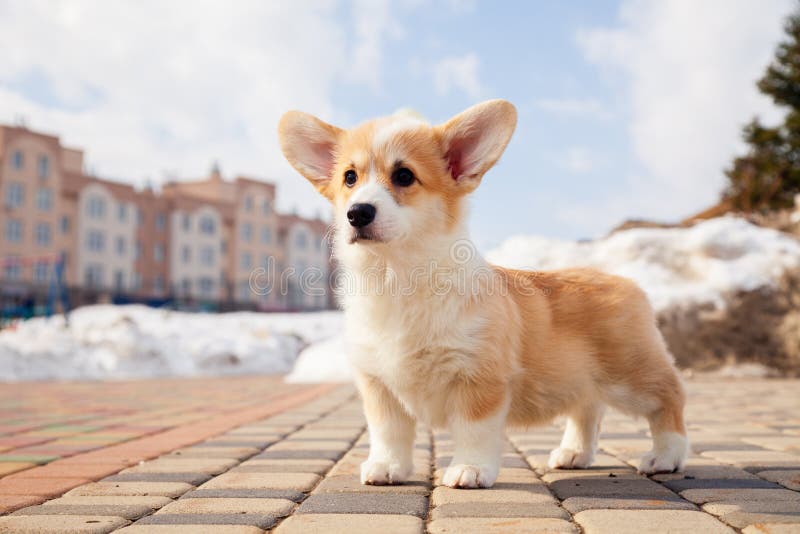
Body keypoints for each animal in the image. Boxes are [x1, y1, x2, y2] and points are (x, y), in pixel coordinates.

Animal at [276, 99, 688, 490]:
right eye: (349, 177)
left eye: (404, 176)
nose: (357, 213)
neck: (397, 277)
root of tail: (624, 281)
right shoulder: (379, 385)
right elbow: (388, 432)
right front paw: (387, 468)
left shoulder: (478, 378)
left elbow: (473, 431)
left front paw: (469, 470)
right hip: (581, 380)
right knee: (588, 409)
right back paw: (574, 453)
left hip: (631, 376)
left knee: (669, 397)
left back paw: (666, 455)